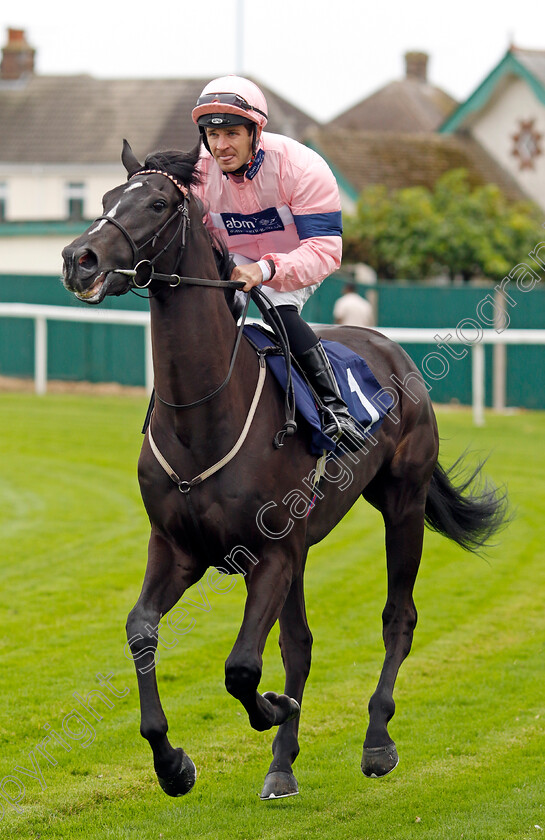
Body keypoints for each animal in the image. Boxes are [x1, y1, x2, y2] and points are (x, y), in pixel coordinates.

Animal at [61, 139, 508, 800]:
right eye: (108, 198)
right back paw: (282, 765)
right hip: (304, 543)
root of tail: (391, 348)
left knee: (397, 617)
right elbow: (143, 630)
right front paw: (173, 763)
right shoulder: (177, 547)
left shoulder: (270, 552)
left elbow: (243, 666)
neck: (202, 416)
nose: (79, 258)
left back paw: (377, 740)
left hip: (400, 504)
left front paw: (271, 708)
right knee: (300, 644)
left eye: (159, 202)